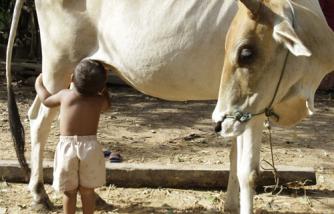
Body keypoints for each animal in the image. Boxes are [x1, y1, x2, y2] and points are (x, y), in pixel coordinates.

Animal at [5, 0, 334, 214]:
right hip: (59, 66)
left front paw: (229, 204)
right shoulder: (252, 105)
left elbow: (233, 157)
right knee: (40, 119)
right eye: (245, 52)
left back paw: (93, 198)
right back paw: (39, 194)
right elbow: (248, 170)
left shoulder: (238, 108)